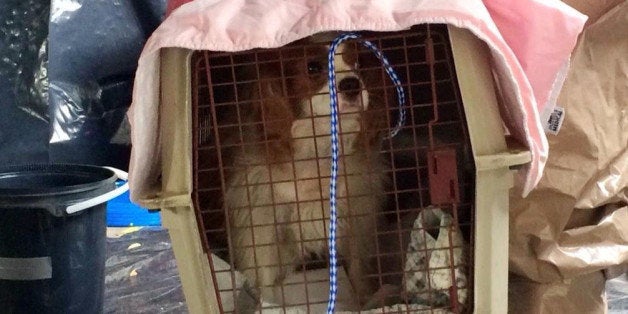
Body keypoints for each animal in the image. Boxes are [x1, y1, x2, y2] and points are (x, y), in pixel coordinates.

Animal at [223, 39, 386, 306]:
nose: (351, 84)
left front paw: (365, 299)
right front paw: (269, 306)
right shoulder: (261, 224)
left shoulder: (356, 216)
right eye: (313, 67)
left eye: (359, 63)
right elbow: (264, 277)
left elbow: (357, 267)